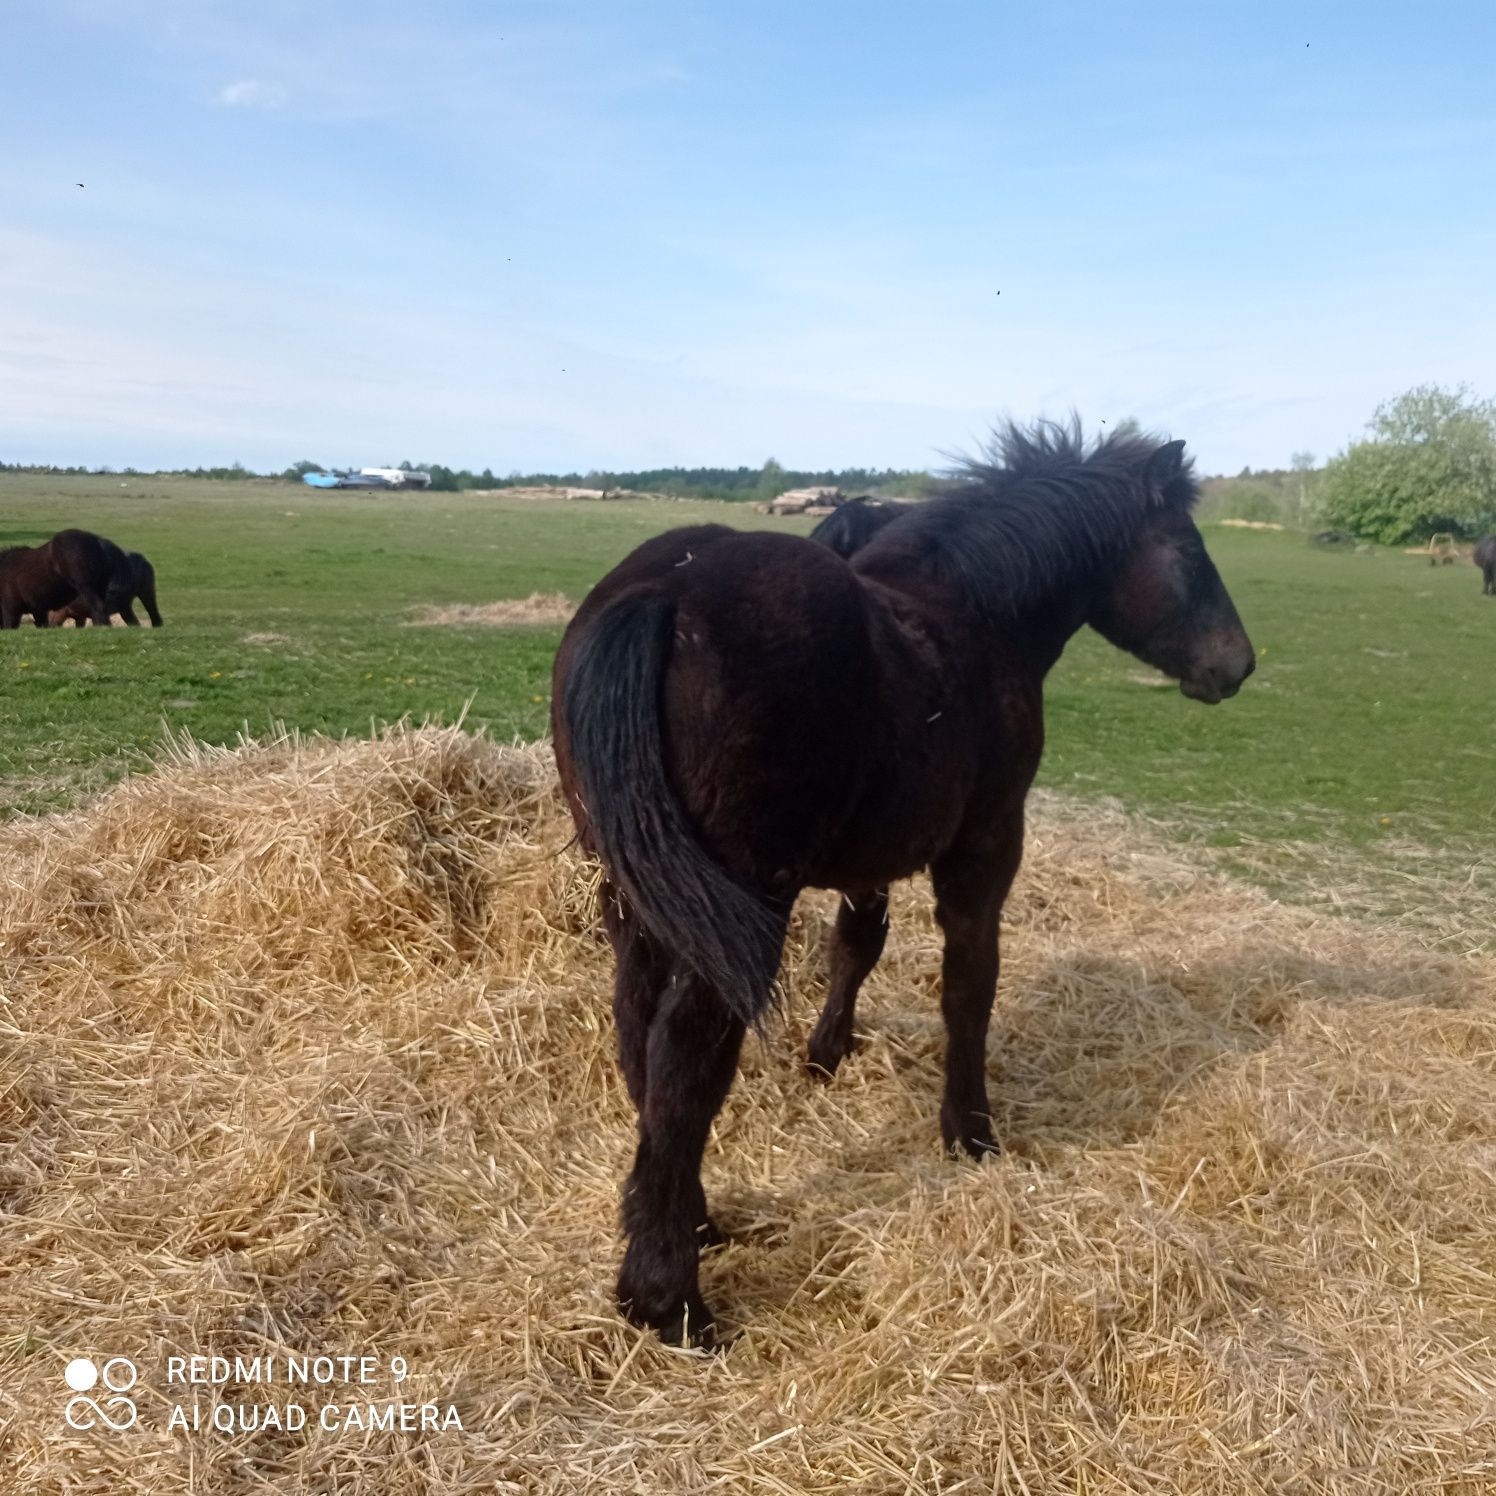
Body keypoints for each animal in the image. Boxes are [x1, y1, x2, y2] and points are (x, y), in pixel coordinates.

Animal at [550, 421, 1250, 1346]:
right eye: (1191, 551)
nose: (1238, 664)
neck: (974, 615)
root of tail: (667, 592)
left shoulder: (866, 863)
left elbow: (858, 947)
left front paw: (828, 1053)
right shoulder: (986, 846)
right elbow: (969, 987)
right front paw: (971, 1133)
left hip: (635, 890)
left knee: (637, 1029)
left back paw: (692, 1218)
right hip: (737, 903)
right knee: (687, 1057)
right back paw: (670, 1299)